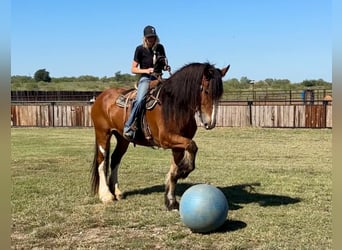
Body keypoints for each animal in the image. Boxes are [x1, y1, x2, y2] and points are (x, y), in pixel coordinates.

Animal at [90, 61, 230, 210]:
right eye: (206, 91)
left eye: (219, 95)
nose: (211, 122)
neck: (174, 106)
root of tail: (101, 96)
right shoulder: (166, 139)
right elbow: (192, 146)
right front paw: (184, 171)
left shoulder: (178, 145)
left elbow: (175, 170)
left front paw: (171, 201)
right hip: (103, 133)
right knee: (102, 160)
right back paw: (106, 195)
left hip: (122, 138)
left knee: (115, 158)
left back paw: (116, 192)